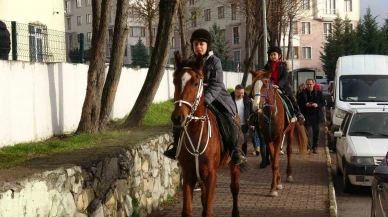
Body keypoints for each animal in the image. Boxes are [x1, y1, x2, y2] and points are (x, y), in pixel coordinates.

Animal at [172, 51, 241, 217]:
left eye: (196, 83)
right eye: (175, 82)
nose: (178, 117)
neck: (196, 132)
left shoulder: (211, 175)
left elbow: (208, 211)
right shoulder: (188, 176)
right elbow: (188, 211)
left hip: (233, 164)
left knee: (234, 187)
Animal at [250, 69, 308, 197]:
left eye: (265, 85)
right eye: (254, 85)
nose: (255, 106)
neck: (270, 113)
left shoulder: (278, 138)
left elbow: (276, 163)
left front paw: (274, 188)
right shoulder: (267, 139)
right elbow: (273, 161)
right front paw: (277, 184)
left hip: (290, 132)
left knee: (289, 151)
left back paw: (289, 174)